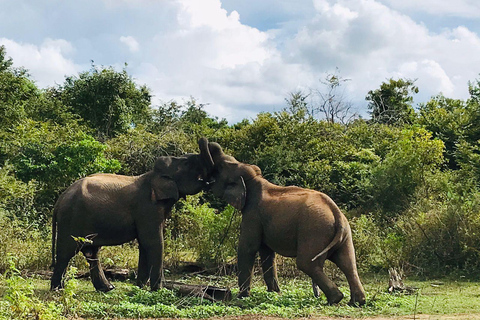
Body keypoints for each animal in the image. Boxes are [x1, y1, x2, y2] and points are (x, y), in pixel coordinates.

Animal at [49, 138, 213, 292]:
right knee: (67, 252)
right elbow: (152, 242)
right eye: (187, 163)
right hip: (71, 219)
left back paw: (107, 288)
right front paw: (158, 291)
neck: (153, 174)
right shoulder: (147, 208)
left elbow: (145, 243)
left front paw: (140, 288)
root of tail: (60, 199)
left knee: (91, 252)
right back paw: (58, 289)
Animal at [207, 143, 368, 308]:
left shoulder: (253, 214)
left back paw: (335, 299)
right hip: (343, 233)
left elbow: (248, 248)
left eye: (221, 168)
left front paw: (241, 298)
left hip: (314, 230)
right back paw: (356, 302)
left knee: (306, 263)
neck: (255, 179)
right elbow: (266, 253)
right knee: (348, 263)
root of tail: (336, 211)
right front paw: (274, 293)